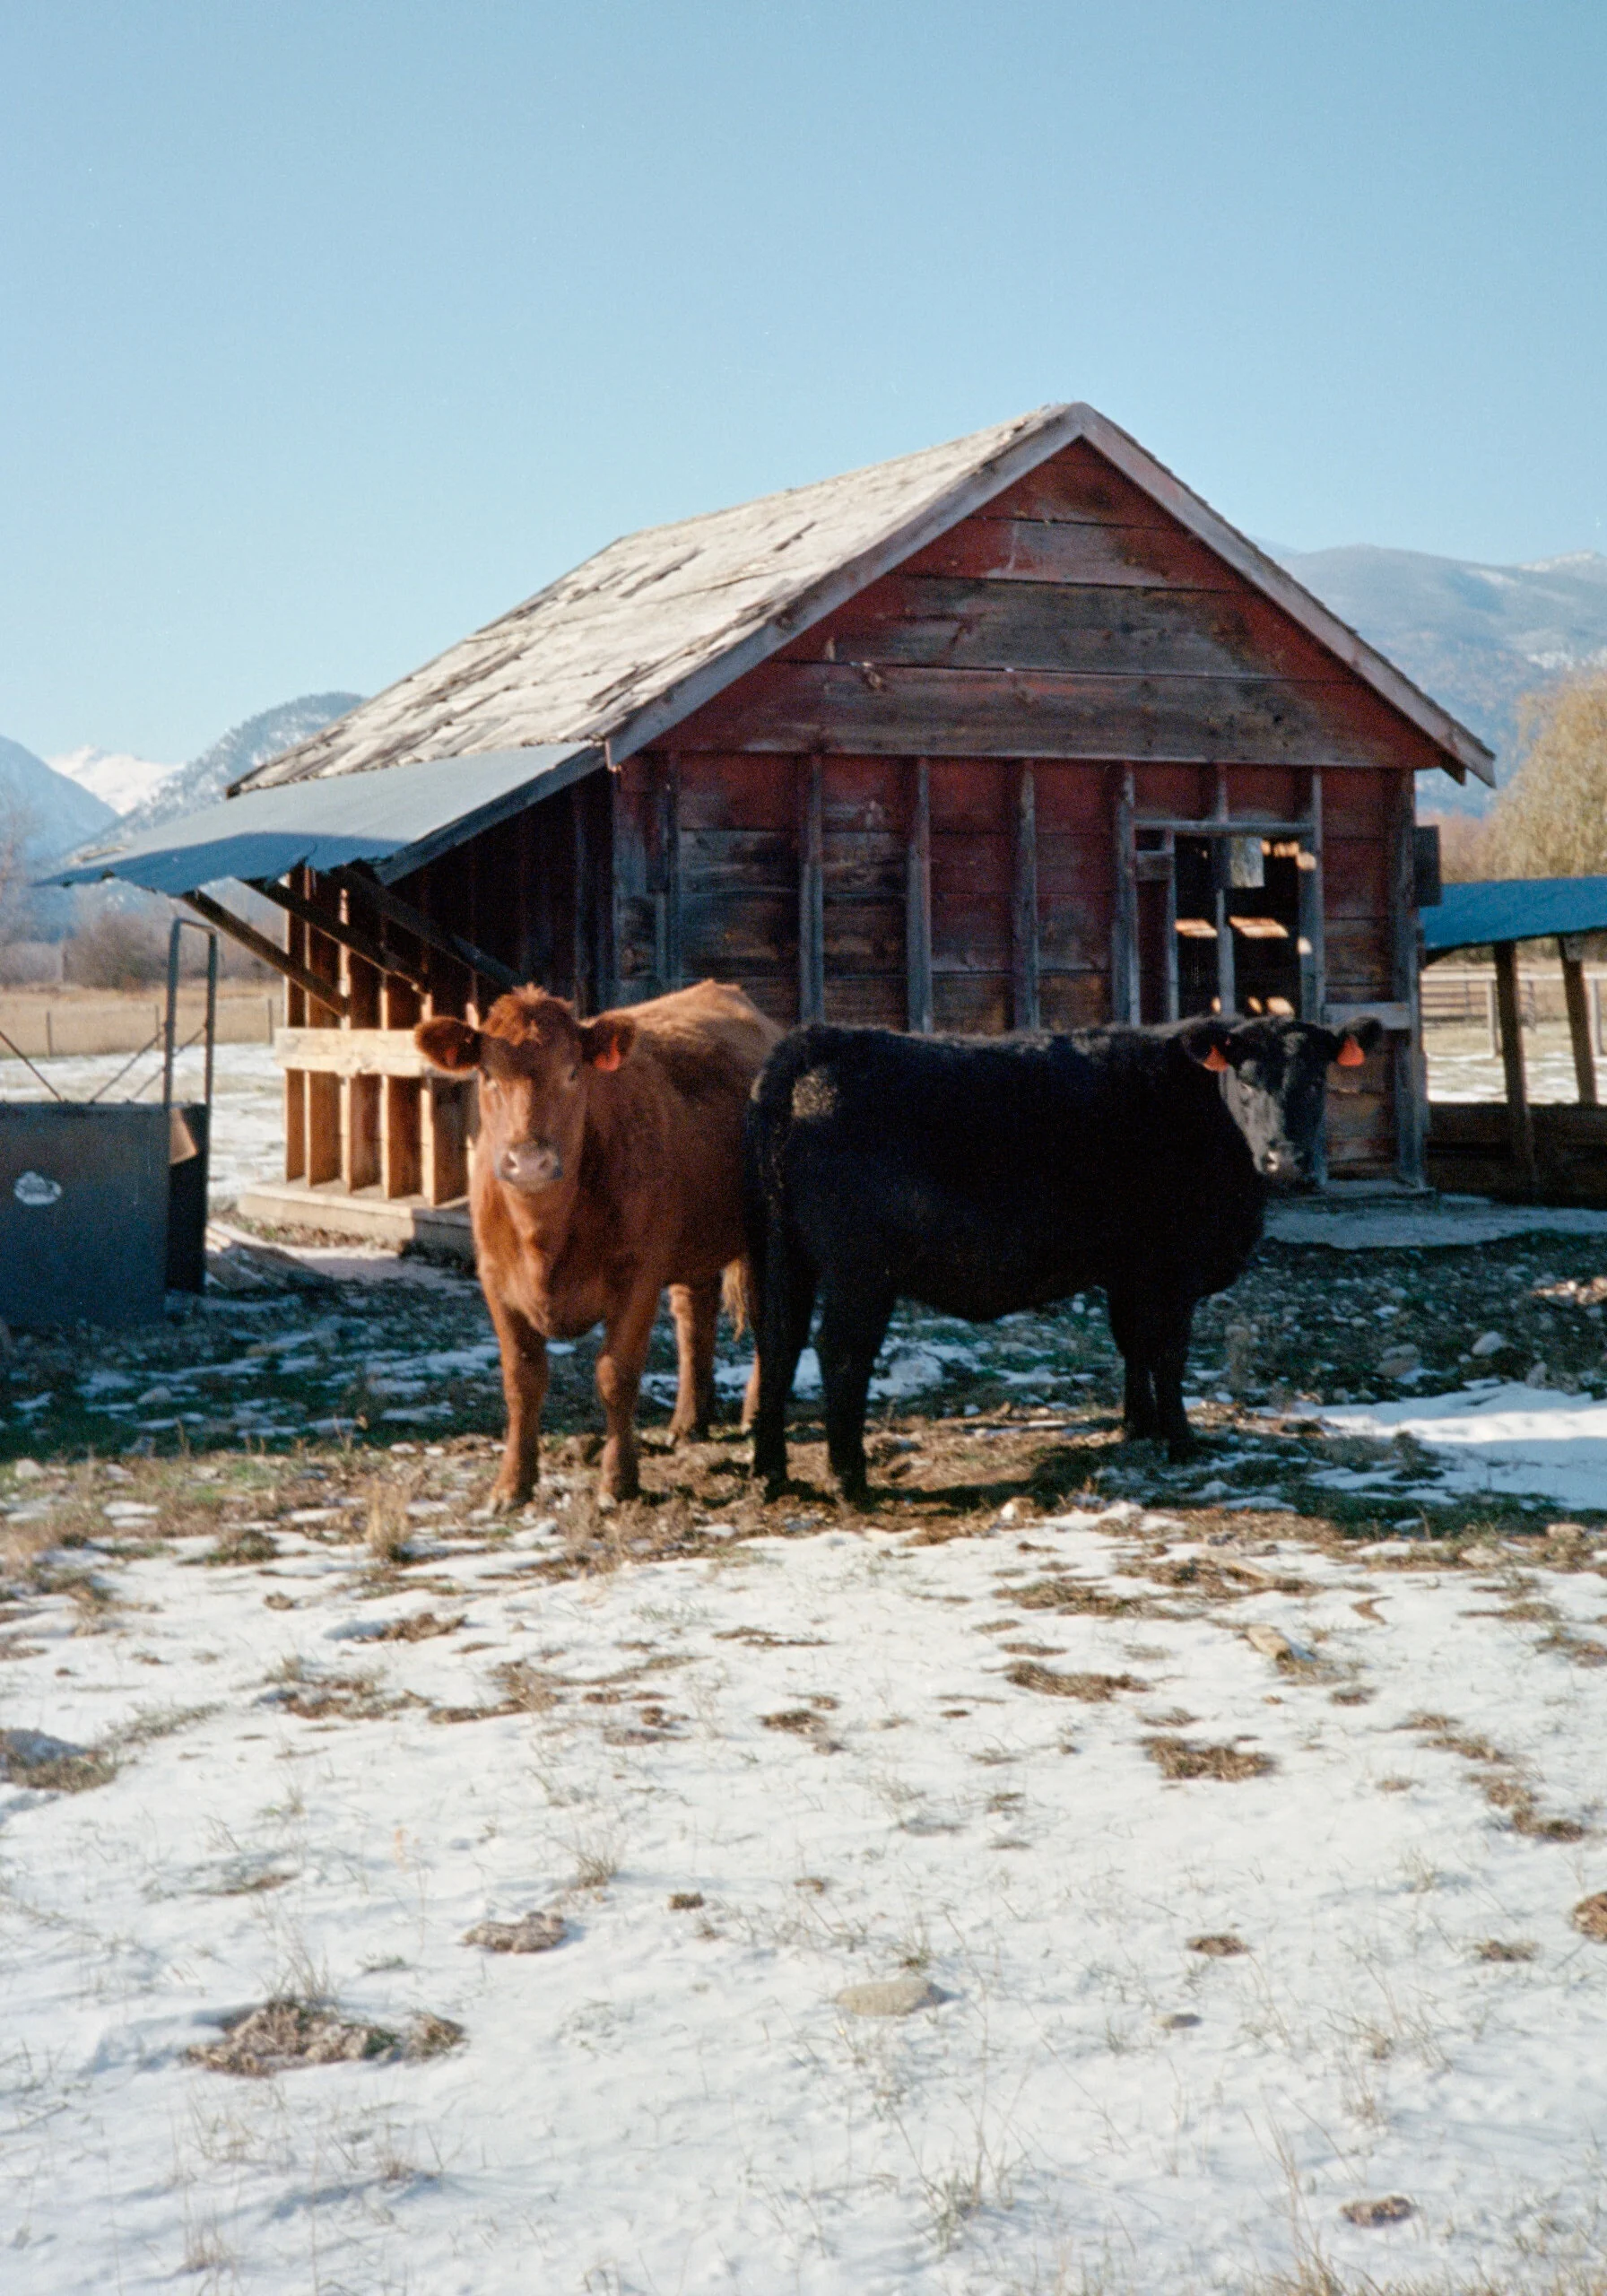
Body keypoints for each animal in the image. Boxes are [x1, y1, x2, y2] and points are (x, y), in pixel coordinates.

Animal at [415, 980, 781, 1508]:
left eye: (572, 1072)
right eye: (486, 1074)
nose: (529, 1161)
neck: (544, 1237)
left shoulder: (638, 1276)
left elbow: (616, 1376)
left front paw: (618, 1482)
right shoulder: (495, 1282)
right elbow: (521, 1380)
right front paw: (512, 1484)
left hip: (763, 1233)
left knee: (763, 1317)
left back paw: (754, 1414)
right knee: (695, 1315)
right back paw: (689, 1420)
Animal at [744, 1012, 1382, 1501]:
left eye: (1317, 1082)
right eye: (1246, 1083)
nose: (1287, 1160)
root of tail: (814, 1040)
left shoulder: (1130, 1270)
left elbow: (1133, 1344)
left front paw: (1137, 1425)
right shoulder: (1171, 1269)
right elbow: (1169, 1351)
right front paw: (1179, 1440)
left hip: (781, 1253)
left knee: (776, 1341)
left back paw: (770, 1473)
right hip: (858, 1270)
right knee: (840, 1352)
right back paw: (848, 1481)